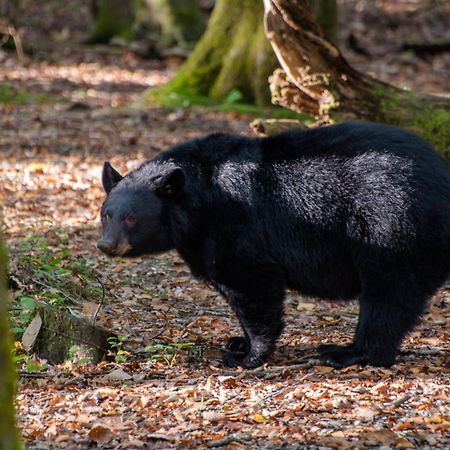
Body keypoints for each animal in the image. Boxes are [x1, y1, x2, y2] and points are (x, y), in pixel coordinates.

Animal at [96, 122, 450, 370]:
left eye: (130, 217)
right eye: (106, 214)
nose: (106, 245)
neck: (200, 200)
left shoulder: (236, 224)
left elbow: (250, 281)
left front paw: (248, 355)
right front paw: (238, 342)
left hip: (391, 224)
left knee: (388, 294)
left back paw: (348, 353)